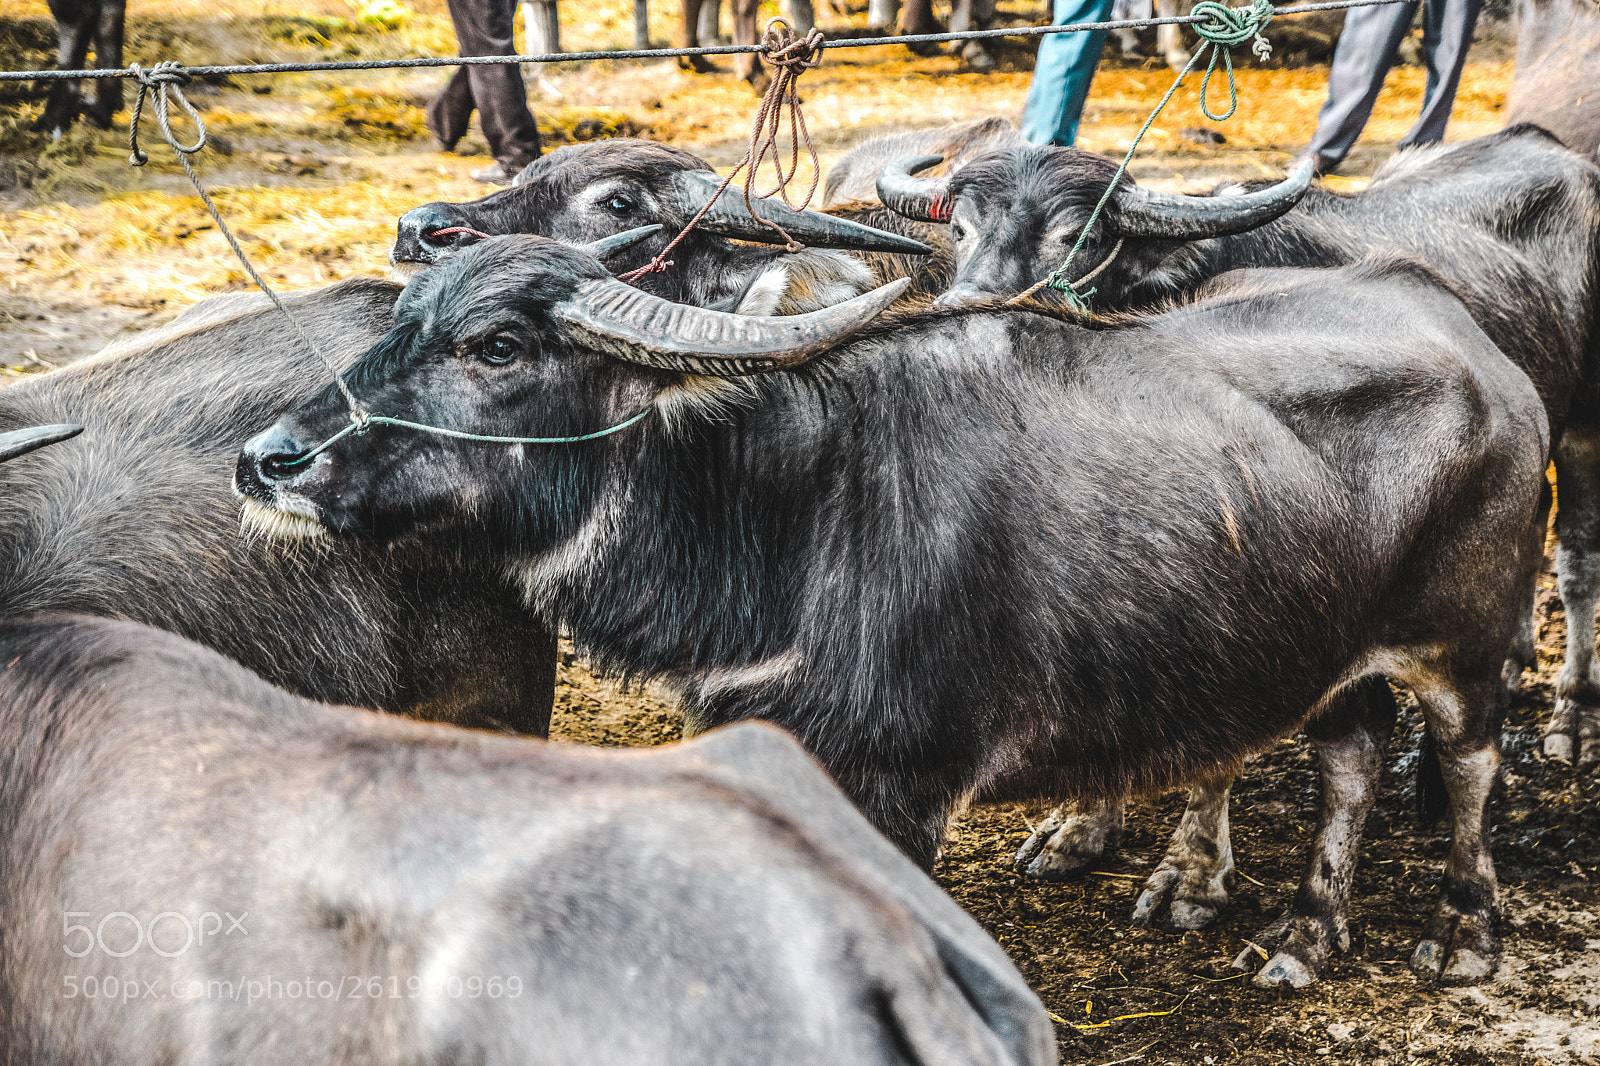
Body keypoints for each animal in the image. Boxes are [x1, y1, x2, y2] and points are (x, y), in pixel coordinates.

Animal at [239, 236, 1547, 989]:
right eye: (400, 323)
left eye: (497, 344)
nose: (271, 457)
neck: (788, 507)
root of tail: (1478, 348)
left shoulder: (899, 780)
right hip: (1331, 650)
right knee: (1349, 758)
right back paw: (1303, 936)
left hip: (1466, 638)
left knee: (1468, 762)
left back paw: (1465, 937)